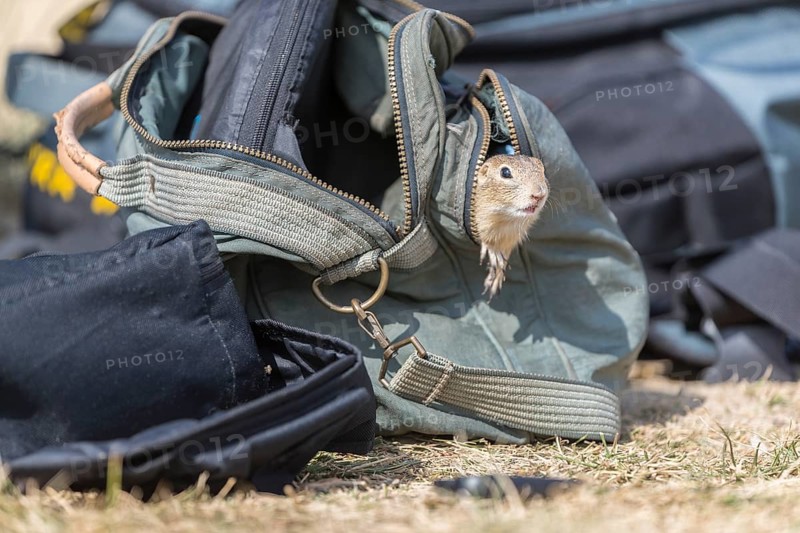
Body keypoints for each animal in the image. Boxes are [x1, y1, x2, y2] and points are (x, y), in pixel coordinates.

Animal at [474, 154, 550, 298]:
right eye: (505, 172)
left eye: (541, 168)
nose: (539, 194)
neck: (507, 222)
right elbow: (488, 242)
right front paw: (494, 255)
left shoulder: (512, 237)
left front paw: (496, 278)